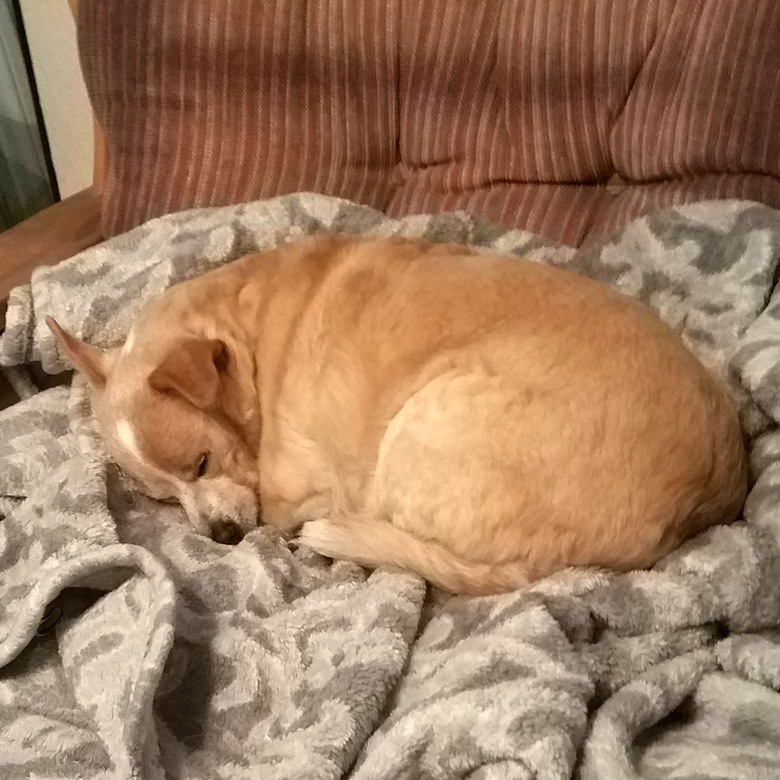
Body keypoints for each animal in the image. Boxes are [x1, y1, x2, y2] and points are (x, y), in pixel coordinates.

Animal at [44, 235, 748, 596]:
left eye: (201, 462)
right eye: (163, 500)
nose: (216, 537)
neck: (247, 339)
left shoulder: (291, 488)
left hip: (423, 426)